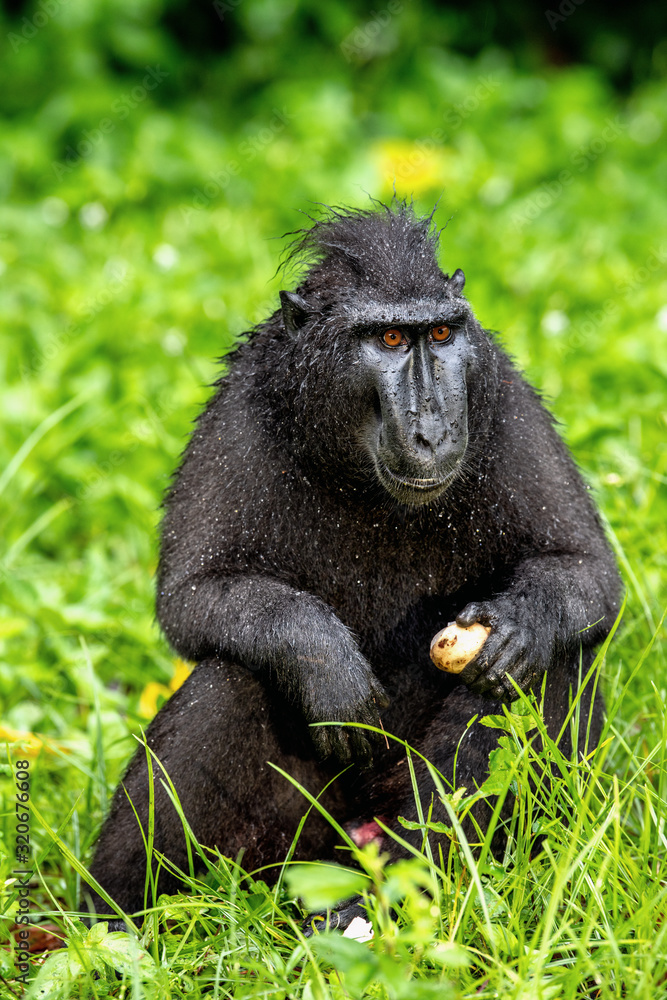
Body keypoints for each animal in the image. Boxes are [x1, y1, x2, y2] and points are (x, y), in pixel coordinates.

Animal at [85, 201, 621, 928]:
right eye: (389, 339)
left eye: (440, 334)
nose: (431, 429)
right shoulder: (236, 415)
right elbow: (192, 595)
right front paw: (323, 660)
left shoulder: (504, 396)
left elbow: (586, 573)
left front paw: (518, 624)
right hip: (296, 840)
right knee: (231, 679)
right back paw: (107, 923)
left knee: (541, 669)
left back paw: (401, 893)